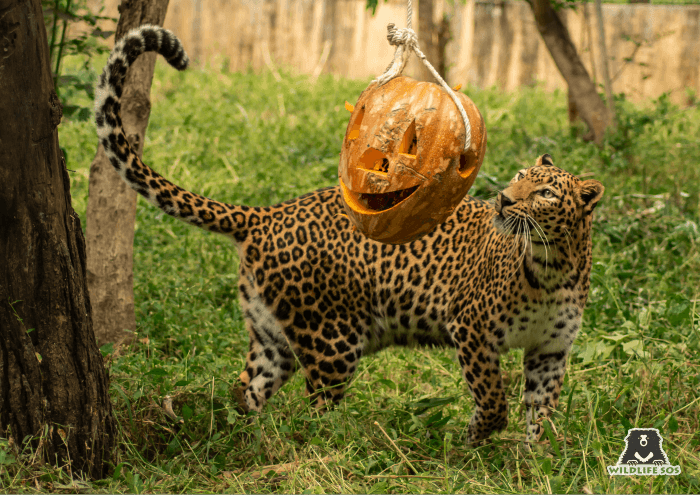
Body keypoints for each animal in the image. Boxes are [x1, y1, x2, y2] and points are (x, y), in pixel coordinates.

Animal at [95, 25, 604, 446]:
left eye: (543, 192)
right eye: (518, 178)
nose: (503, 200)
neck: (552, 263)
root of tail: (266, 214)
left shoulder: (550, 350)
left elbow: (543, 409)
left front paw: (536, 459)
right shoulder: (471, 329)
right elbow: (494, 398)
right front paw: (472, 440)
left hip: (272, 334)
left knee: (246, 389)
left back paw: (248, 438)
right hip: (331, 340)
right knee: (314, 408)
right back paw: (325, 445)